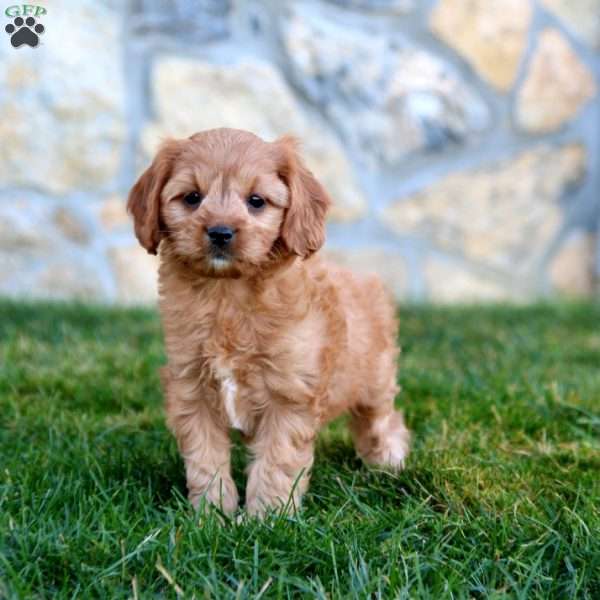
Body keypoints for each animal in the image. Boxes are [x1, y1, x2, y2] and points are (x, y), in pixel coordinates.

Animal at [126, 129, 408, 516]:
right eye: (192, 197)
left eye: (256, 201)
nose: (220, 232)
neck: (227, 295)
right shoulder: (191, 388)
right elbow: (205, 459)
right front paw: (213, 514)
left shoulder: (289, 394)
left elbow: (276, 461)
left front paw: (266, 518)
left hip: (375, 379)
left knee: (381, 420)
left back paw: (389, 461)